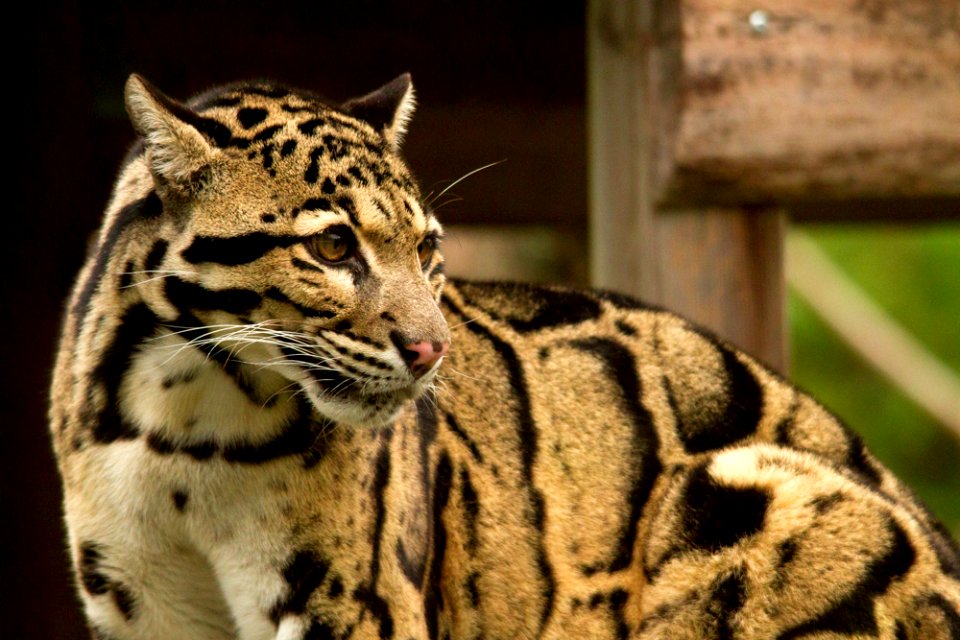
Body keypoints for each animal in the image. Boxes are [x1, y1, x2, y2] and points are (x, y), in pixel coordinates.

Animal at [52, 72, 960, 636]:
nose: (431, 349)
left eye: (426, 249)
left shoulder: (357, 602)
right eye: (334, 246)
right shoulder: (139, 603)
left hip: (755, 489)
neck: (188, 422)